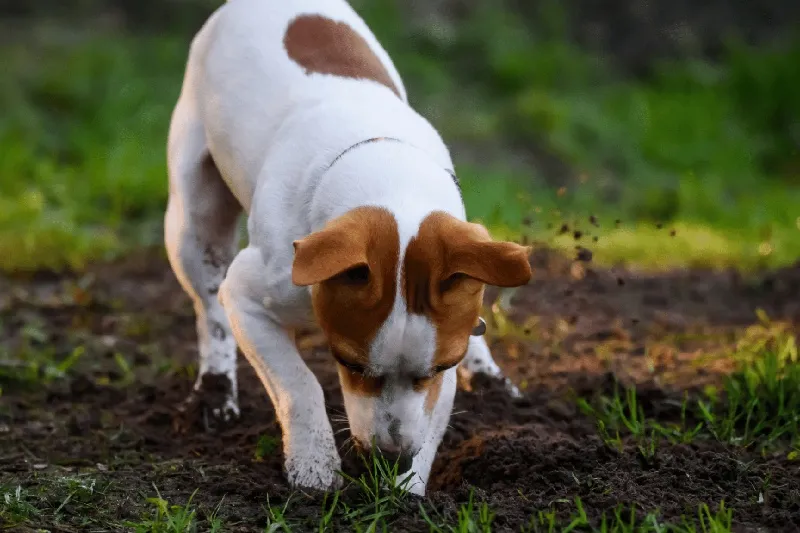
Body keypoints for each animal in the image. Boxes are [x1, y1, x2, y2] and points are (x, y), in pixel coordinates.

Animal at [164, 0, 532, 494]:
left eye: (437, 368)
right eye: (348, 364)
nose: (392, 458)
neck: (388, 174)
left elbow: (434, 413)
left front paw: (408, 489)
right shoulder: (247, 297)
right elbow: (298, 383)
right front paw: (314, 465)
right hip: (193, 218)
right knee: (209, 308)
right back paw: (215, 392)